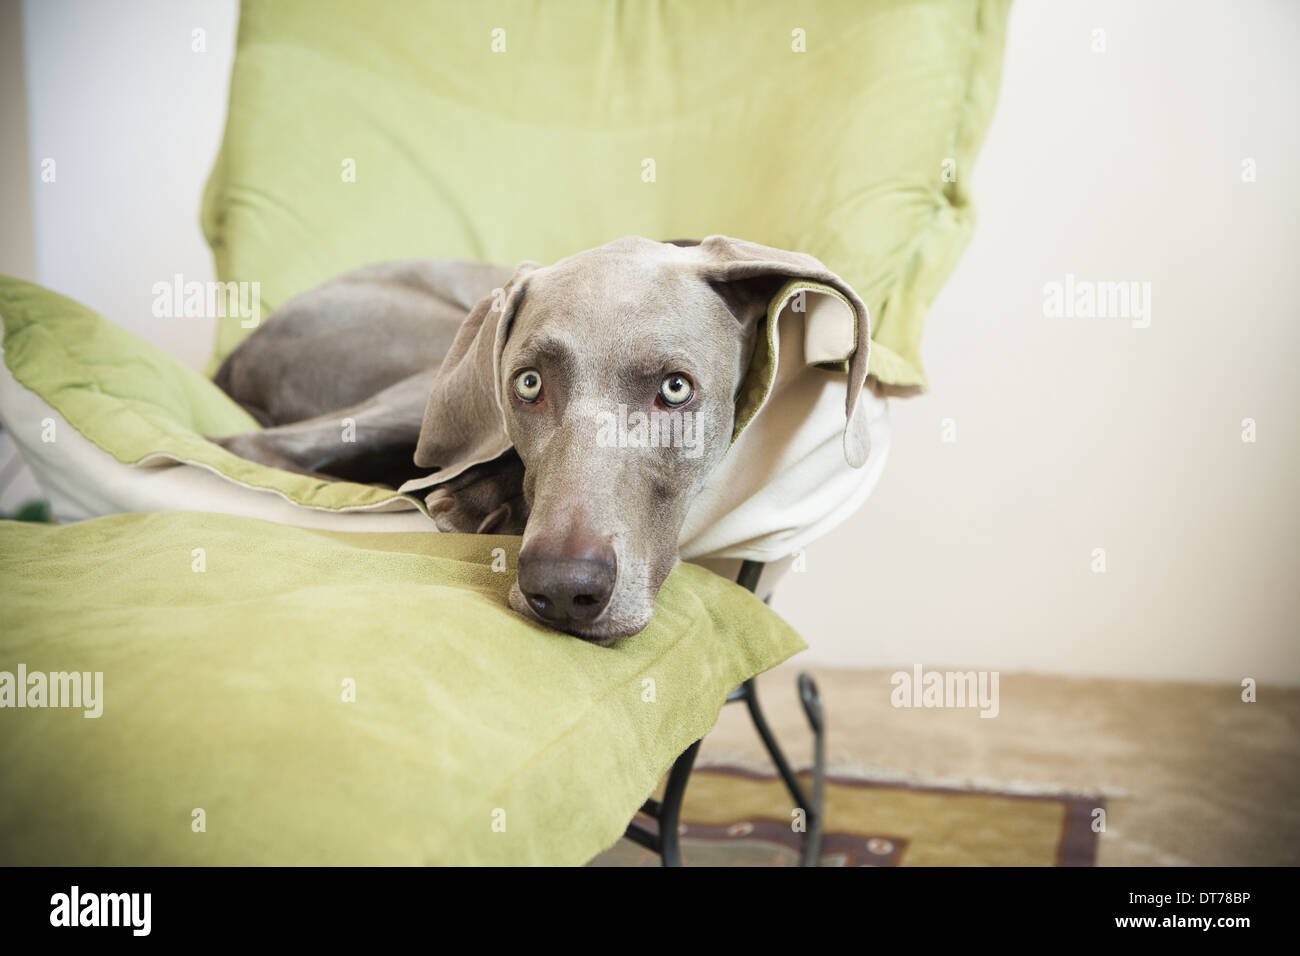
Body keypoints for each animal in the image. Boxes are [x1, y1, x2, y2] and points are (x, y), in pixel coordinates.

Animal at [213, 235, 868, 647]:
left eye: (676, 388)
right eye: (528, 383)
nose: (562, 587)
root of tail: (236, 355)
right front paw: (477, 496)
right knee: (254, 444)